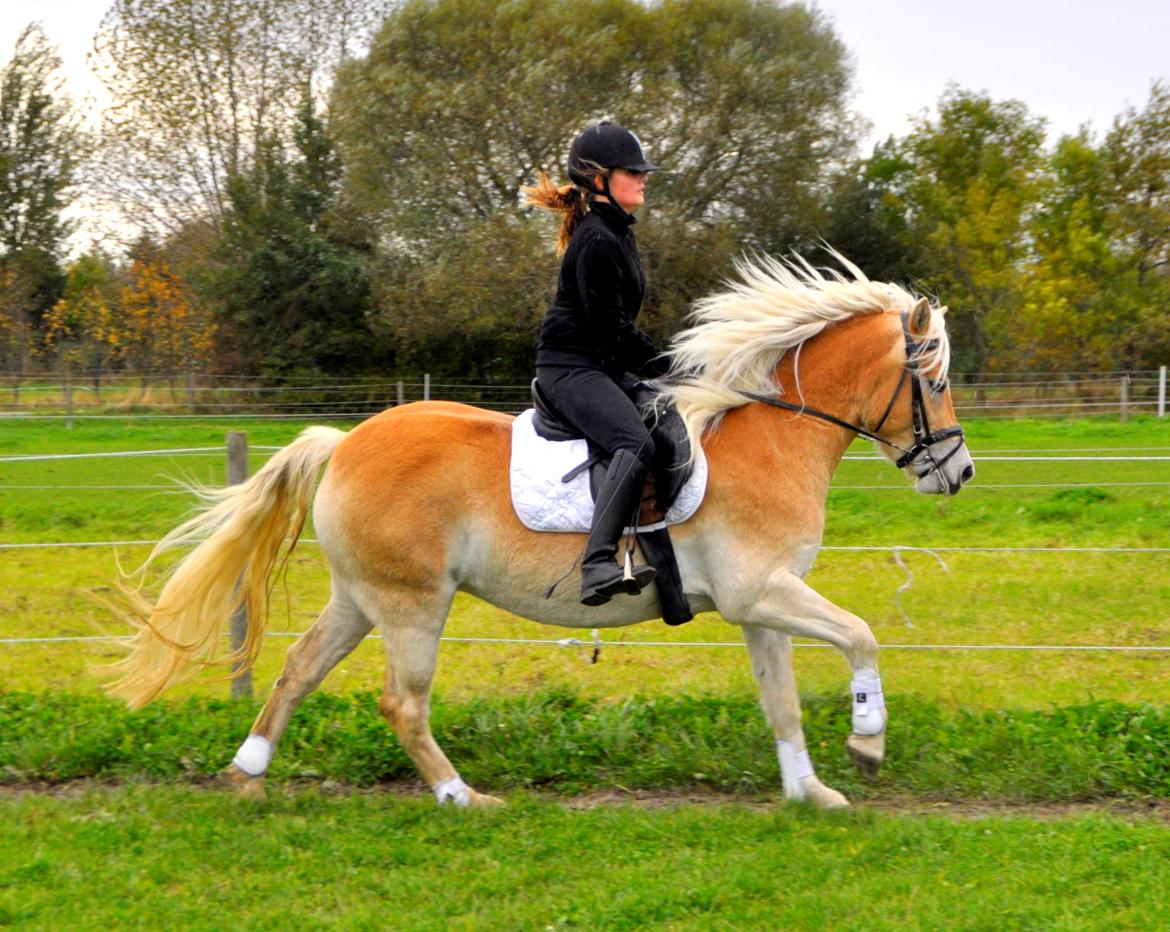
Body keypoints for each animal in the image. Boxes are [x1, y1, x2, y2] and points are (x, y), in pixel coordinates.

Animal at [109, 254, 973, 809]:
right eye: (931, 378)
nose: (956, 473)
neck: (771, 435)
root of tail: (344, 443)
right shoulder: (762, 591)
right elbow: (860, 636)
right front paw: (868, 741)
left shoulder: (759, 605)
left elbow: (783, 703)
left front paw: (810, 791)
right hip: (414, 603)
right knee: (402, 703)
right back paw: (461, 796)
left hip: (362, 597)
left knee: (297, 671)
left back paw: (246, 772)